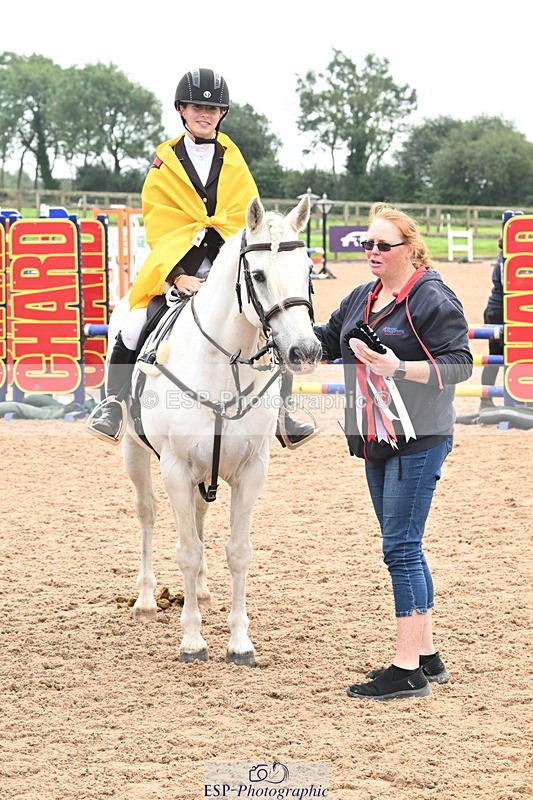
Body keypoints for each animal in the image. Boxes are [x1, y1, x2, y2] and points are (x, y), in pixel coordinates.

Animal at [104, 194, 321, 666]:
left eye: (308, 271)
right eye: (258, 275)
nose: (305, 350)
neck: (224, 368)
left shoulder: (252, 470)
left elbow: (237, 552)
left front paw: (239, 642)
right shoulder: (175, 468)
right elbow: (186, 551)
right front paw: (192, 640)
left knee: (200, 518)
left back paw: (200, 592)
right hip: (135, 452)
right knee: (147, 512)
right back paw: (146, 600)